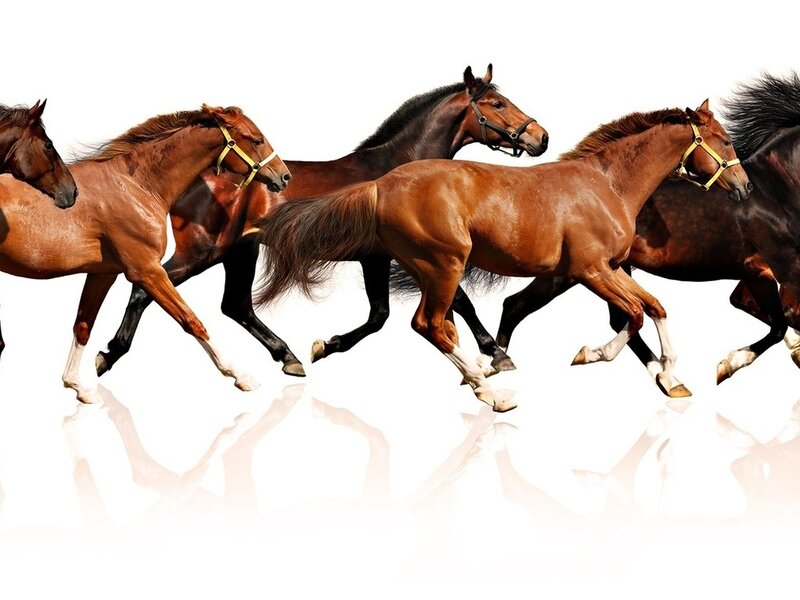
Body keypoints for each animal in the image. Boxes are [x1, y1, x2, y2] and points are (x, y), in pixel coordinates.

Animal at [0, 104, 290, 403]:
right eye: (257, 139)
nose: (284, 176)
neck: (136, 186)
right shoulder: (147, 271)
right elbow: (192, 320)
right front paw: (241, 376)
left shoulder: (103, 274)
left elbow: (83, 326)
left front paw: (78, 386)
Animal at [93, 65, 549, 379]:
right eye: (497, 104)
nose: (540, 137)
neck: (396, 169)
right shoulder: (399, 257)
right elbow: (447, 304)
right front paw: (496, 353)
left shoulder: (381, 259)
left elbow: (384, 314)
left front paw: (323, 346)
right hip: (206, 252)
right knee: (147, 289)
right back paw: (107, 355)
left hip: (239, 251)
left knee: (234, 305)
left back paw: (289, 358)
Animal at [254, 101, 749, 412]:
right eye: (725, 141)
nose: (743, 187)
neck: (606, 184)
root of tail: (381, 184)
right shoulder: (589, 270)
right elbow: (634, 316)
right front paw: (589, 354)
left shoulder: (609, 269)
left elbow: (656, 307)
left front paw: (672, 379)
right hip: (443, 265)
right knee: (429, 324)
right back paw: (492, 394)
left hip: (427, 268)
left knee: (440, 325)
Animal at [494, 72, 800, 389]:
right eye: (726, 141)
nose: (744, 186)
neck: (774, 192)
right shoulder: (771, 270)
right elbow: (781, 322)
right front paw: (729, 364)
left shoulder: (755, 274)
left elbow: (774, 318)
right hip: (570, 273)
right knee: (517, 305)